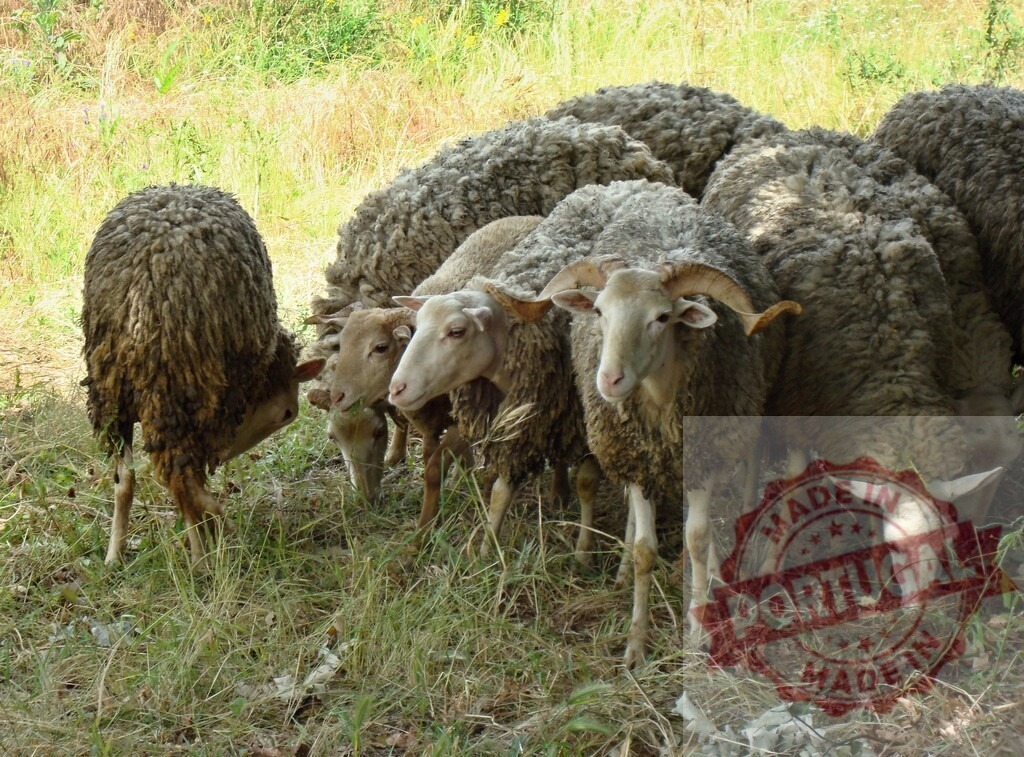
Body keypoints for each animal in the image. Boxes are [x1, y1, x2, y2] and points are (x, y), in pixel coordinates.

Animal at [81, 183, 325, 567]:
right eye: (287, 413)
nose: (223, 456)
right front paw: (210, 534)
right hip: (182, 392)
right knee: (180, 477)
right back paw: (210, 541)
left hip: (112, 393)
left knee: (130, 479)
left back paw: (116, 555)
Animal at [499, 180, 799, 668]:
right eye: (599, 312)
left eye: (662, 317)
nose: (609, 380)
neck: (660, 412)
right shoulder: (637, 459)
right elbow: (645, 549)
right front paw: (635, 643)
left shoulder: (705, 458)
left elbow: (697, 540)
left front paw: (698, 635)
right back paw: (622, 567)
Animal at [701, 128, 1019, 599]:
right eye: (897, 545)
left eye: (940, 544)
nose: (920, 604)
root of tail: (790, 134)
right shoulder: (800, 403)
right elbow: (793, 480)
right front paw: (772, 563)